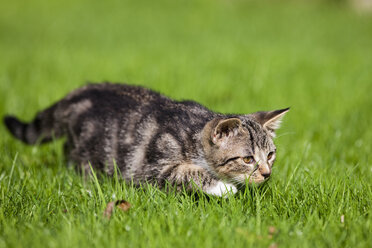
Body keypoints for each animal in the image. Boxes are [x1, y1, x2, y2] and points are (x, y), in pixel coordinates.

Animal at [2, 83, 290, 196]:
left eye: (270, 155)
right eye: (248, 158)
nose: (266, 173)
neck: (193, 136)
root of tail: (78, 93)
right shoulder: (151, 166)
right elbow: (184, 172)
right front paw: (223, 187)